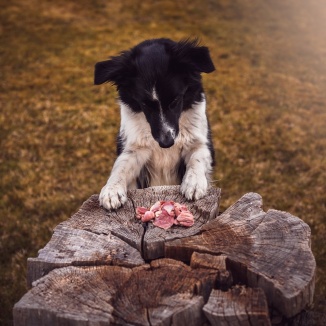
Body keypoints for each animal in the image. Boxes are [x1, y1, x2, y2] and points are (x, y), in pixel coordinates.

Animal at [94, 38, 215, 211]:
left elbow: (197, 157)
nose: (166, 143)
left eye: (175, 100)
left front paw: (194, 183)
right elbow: (120, 166)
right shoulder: (136, 149)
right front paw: (112, 190)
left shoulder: (201, 142)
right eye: (145, 104)